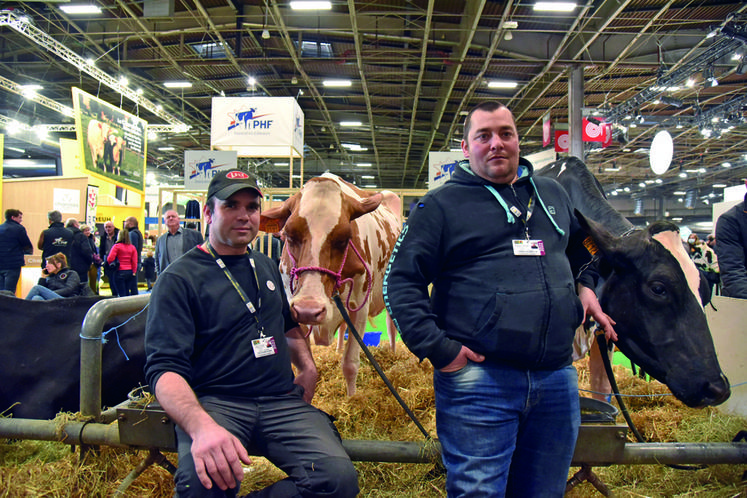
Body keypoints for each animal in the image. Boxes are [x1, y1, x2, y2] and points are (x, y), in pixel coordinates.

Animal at [262, 173, 404, 394]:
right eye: (288, 235)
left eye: (344, 238)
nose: (309, 309)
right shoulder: (294, 308)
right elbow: (305, 366)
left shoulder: (360, 306)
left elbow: (350, 364)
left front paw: (352, 398)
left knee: (391, 327)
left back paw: (393, 353)